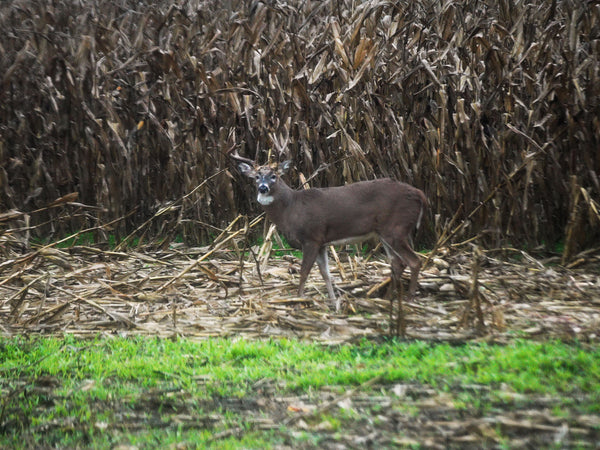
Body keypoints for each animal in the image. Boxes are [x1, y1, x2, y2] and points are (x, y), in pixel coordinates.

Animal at [231, 153, 426, 332]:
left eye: (274, 176)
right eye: (256, 176)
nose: (263, 188)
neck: (291, 208)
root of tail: (420, 195)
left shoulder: (311, 237)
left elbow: (304, 272)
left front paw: (297, 303)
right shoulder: (322, 243)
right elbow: (325, 273)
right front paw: (333, 303)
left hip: (396, 228)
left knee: (414, 261)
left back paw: (409, 299)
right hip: (385, 233)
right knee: (397, 262)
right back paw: (385, 299)